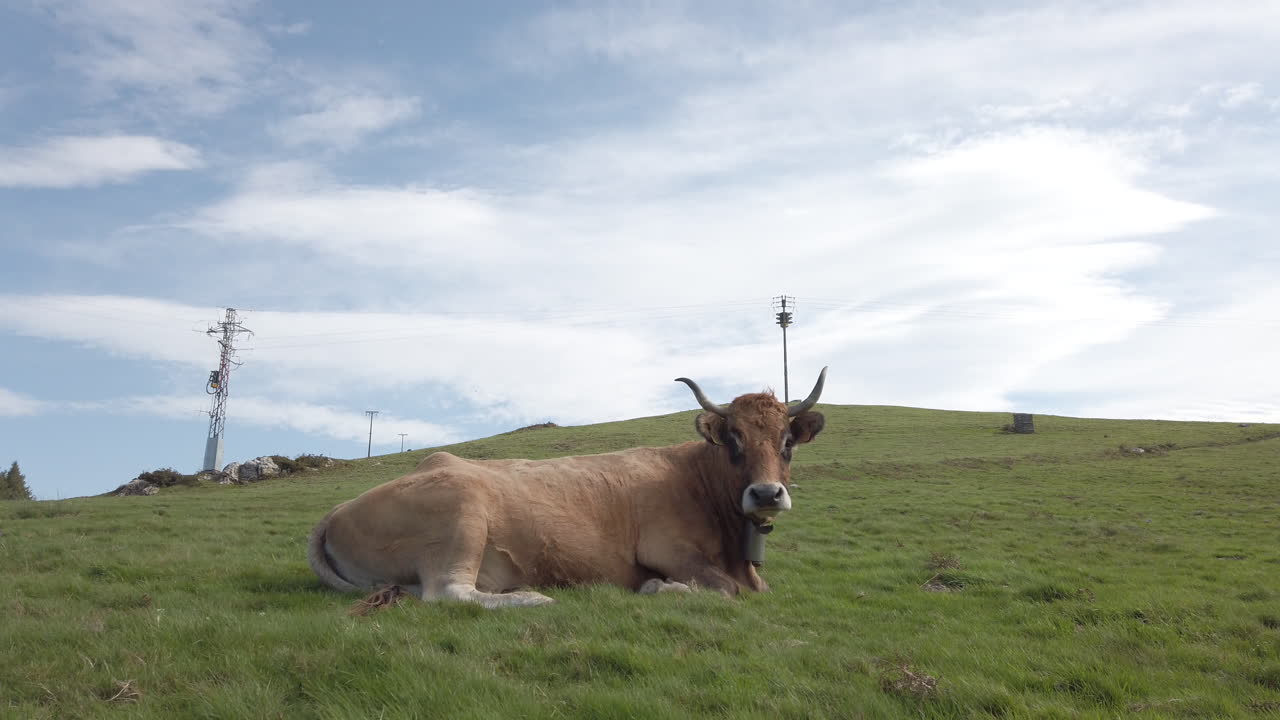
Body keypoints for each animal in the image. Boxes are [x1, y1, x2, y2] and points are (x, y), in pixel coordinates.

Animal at [307, 368, 828, 608]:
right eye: (734, 440)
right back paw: (531, 598)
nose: (766, 494)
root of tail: (335, 510)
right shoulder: (668, 549)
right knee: (450, 593)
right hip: (462, 513)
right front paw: (658, 588)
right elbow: (723, 589)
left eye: (786, 442)